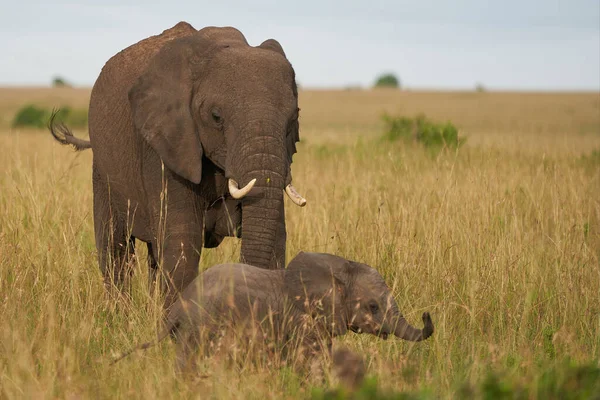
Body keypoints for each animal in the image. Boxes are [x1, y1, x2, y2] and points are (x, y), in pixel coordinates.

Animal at [48, 21, 304, 304]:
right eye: (216, 116)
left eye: (294, 117)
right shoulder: (164, 146)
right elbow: (182, 243)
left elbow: (276, 236)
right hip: (103, 169)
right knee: (115, 248)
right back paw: (117, 312)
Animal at [112, 252, 432, 370]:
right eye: (373, 306)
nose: (427, 315)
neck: (338, 265)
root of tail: (176, 311)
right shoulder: (301, 320)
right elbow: (312, 361)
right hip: (202, 328)